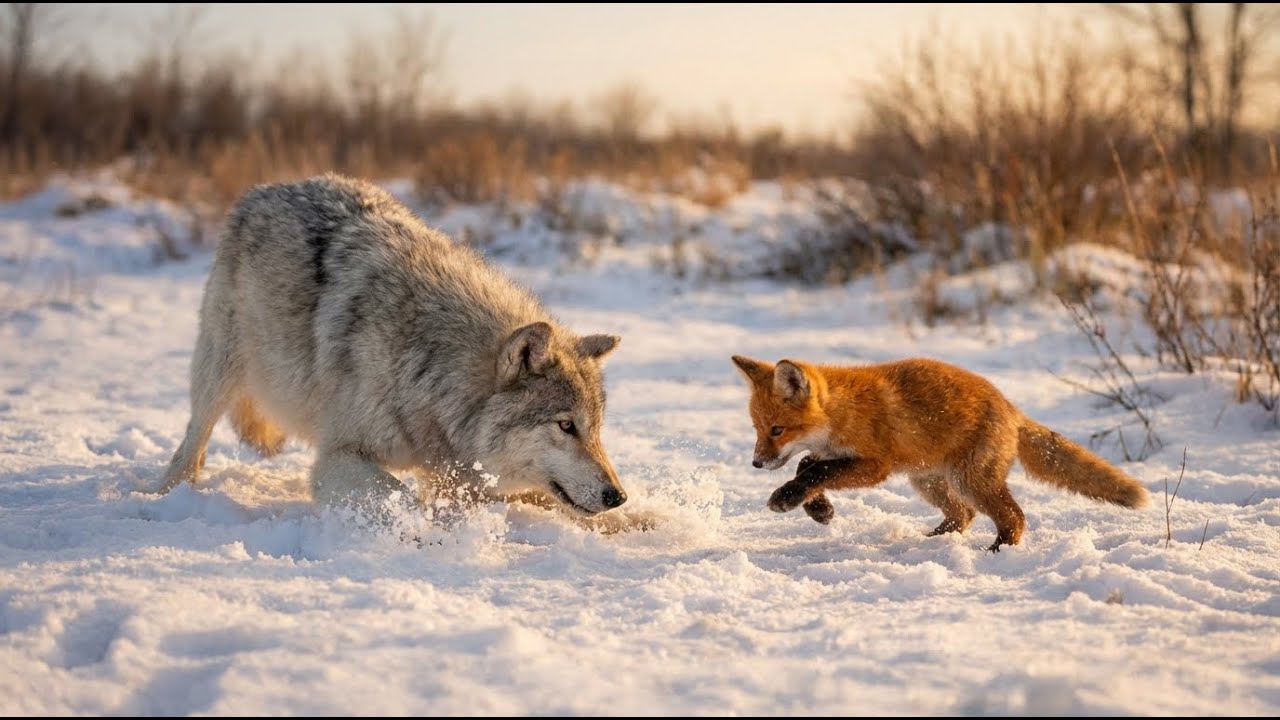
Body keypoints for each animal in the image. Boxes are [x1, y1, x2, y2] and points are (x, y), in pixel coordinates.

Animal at [156, 173, 629, 521]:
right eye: (565, 426)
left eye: (595, 428)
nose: (616, 495)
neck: (430, 372)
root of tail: (269, 187)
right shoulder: (339, 456)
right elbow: (399, 494)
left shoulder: (455, 473)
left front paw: (638, 521)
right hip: (219, 372)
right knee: (191, 445)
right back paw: (166, 496)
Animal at [730, 355, 1149, 551]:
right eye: (757, 429)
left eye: (777, 430)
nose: (756, 462)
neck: (842, 412)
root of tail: (1011, 407)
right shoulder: (836, 454)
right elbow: (806, 465)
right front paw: (819, 509)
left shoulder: (877, 465)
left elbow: (817, 472)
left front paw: (789, 498)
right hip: (928, 481)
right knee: (963, 516)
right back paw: (930, 542)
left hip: (968, 480)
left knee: (1013, 517)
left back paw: (996, 553)